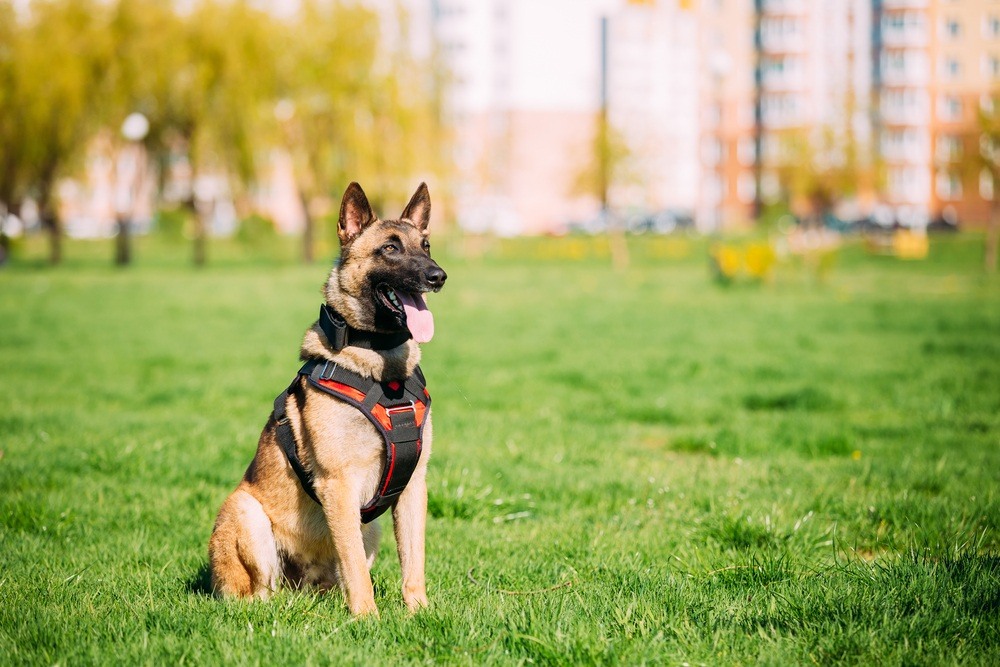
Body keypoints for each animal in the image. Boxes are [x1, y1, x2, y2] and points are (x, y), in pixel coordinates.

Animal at [208, 181, 446, 616]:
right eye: (390, 248)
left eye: (425, 245)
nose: (438, 276)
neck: (381, 367)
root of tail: (299, 587)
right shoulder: (338, 486)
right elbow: (356, 569)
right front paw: (368, 618)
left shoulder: (413, 486)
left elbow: (413, 561)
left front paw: (418, 611)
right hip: (247, 514)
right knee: (256, 595)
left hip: (370, 527)